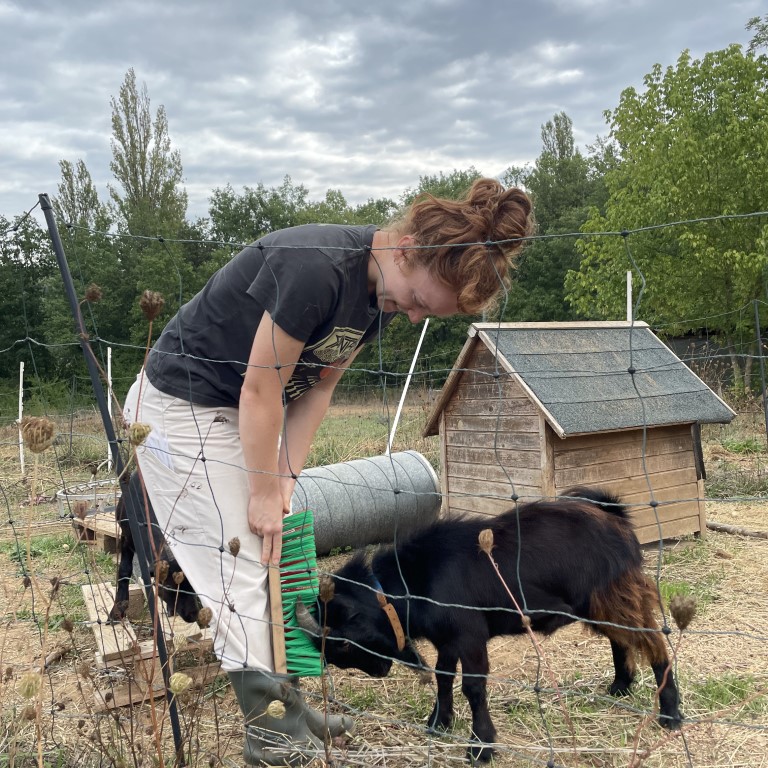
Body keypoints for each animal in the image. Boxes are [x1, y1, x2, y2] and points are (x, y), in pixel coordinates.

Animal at [296, 486, 680, 760]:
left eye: (343, 643)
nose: (379, 671)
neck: (415, 581)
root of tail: (614, 515)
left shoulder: (469, 636)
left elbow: (473, 688)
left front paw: (481, 746)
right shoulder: (447, 640)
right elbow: (444, 678)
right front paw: (438, 723)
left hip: (613, 596)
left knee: (652, 641)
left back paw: (671, 714)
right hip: (599, 605)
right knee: (621, 639)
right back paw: (620, 686)